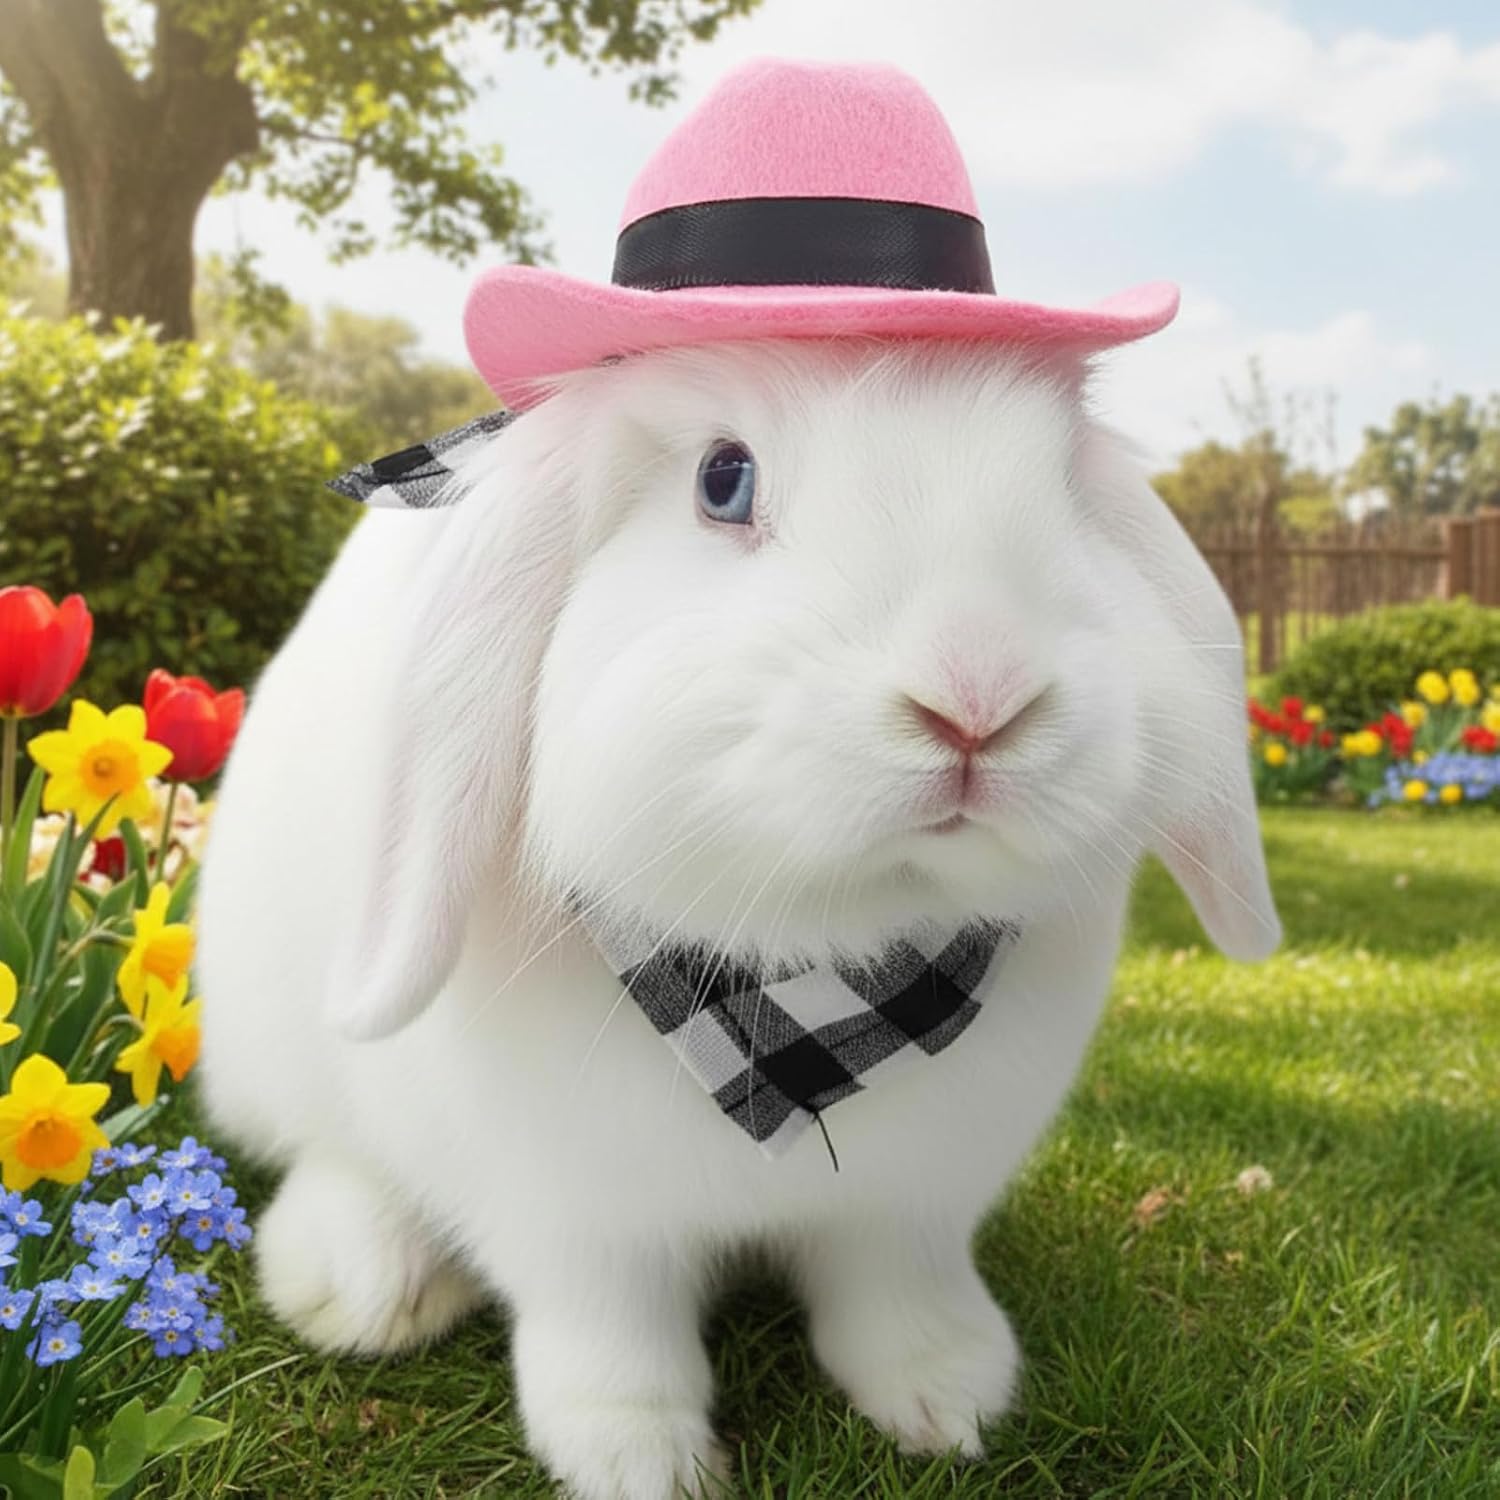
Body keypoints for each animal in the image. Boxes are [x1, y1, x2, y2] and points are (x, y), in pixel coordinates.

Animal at [195, 336, 1280, 1500]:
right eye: (725, 481)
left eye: (1069, 484)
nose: (978, 694)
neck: (799, 1021)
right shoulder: (580, 1224)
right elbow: (612, 1342)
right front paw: (642, 1462)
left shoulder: (914, 1207)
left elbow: (899, 1301)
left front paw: (950, 1401)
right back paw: (361, 1283)